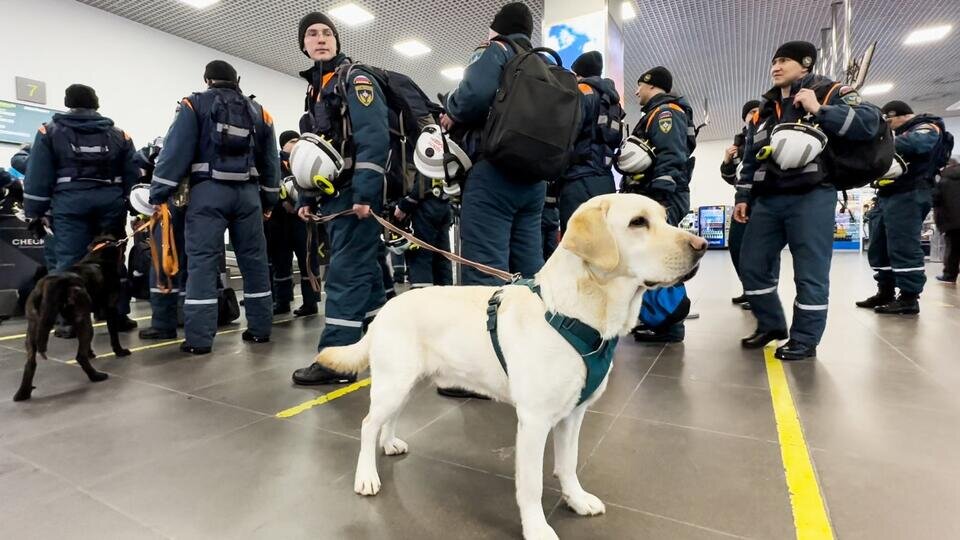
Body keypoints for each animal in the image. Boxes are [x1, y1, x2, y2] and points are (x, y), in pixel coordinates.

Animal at [15, 235, 132, 400]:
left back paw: (23, 393)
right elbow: (114, 337)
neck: (97, 258)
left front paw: (91, 353)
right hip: (84, 322)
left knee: (30, 363)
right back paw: (96, 376)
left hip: (33, 329)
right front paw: (120, 351)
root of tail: (51, 282)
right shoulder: (110, 310)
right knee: (79, 357)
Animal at [316, 195, 704, 540]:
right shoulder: (534, 421)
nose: (701, 245)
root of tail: (386, 307)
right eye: (638, 222)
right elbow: (531, 486)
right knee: (368, 424)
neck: (573, 315)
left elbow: (568, 464)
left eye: (665, 218)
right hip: (394, 383)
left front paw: (576, 500)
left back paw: (390, 443)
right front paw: (537, 529)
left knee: (387, 420)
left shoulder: (573, 415)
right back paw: (366, 476)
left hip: (408, 383)